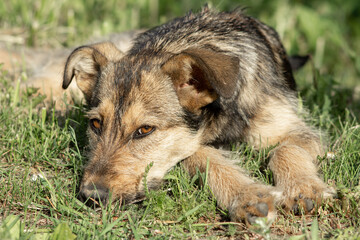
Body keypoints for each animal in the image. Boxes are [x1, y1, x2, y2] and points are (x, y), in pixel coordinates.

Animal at [60, 7, 334, 225]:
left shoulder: (297, 130)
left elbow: (286, 149)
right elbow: (202, 155)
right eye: (95, 124)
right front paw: (246, 195)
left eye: (145, 130)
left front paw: (304, 189)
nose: (91, 195)